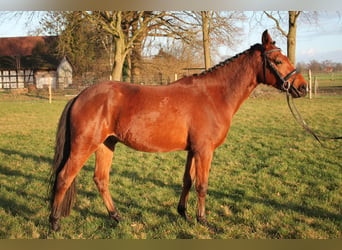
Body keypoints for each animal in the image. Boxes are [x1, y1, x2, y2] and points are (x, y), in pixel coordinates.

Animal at [48, 30, 308, 231]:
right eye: (278, 61)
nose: (303, 87)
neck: (213, 95)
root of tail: (80, 96)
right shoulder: (204, 151)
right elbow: (202, 185)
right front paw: (204, 221)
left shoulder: (193, 150)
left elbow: (187, 181)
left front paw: (183, 213)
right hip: (84, 146)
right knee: (64, 177)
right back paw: (54, 222)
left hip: (106, 145)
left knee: (101, 180)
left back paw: (116, 217)